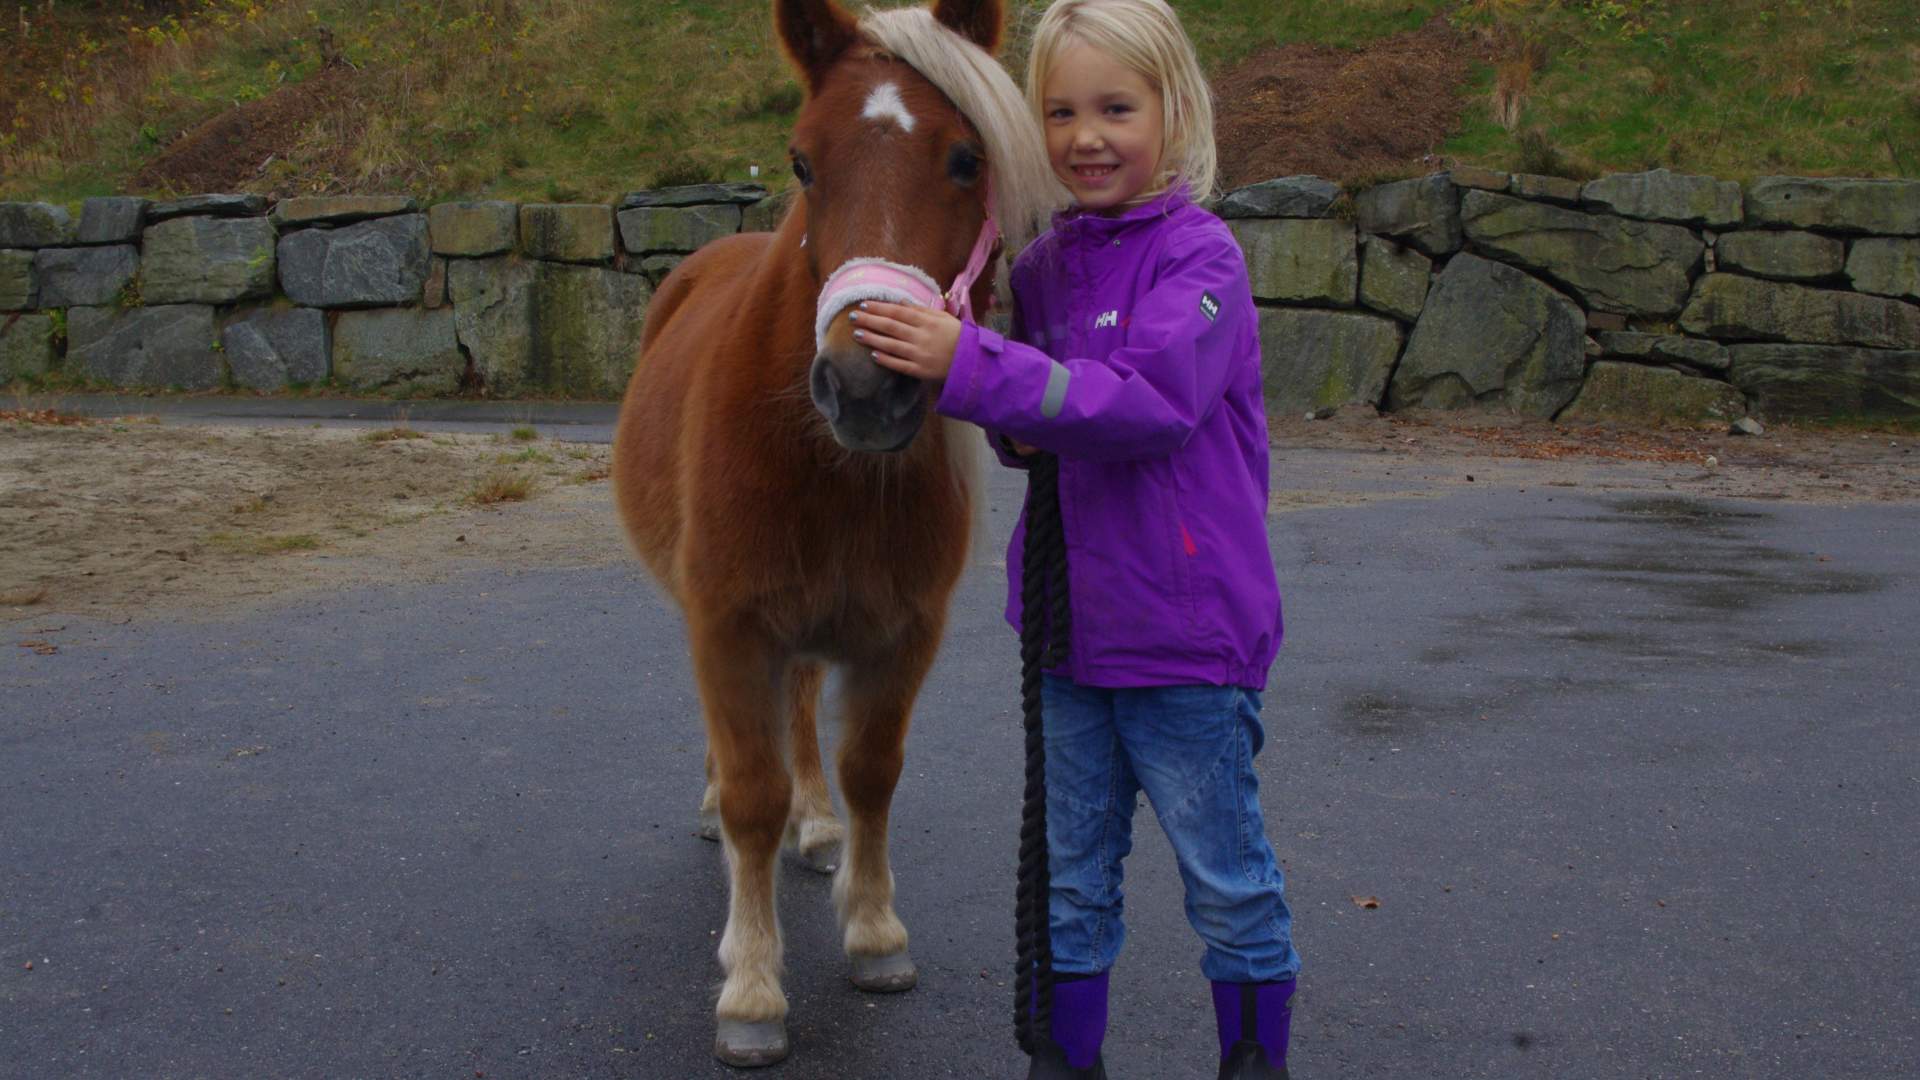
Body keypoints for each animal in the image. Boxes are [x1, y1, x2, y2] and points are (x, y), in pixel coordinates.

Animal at [610, 0, 1059, 1060]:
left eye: (968, 157)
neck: (821, 459)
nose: (864, 386)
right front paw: (751, 988)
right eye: (803, 161)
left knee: (806, 712)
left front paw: (873, 930)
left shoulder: (902, 633)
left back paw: (814, 829)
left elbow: (869, 772)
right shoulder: (729, 626)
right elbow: (751, 792)